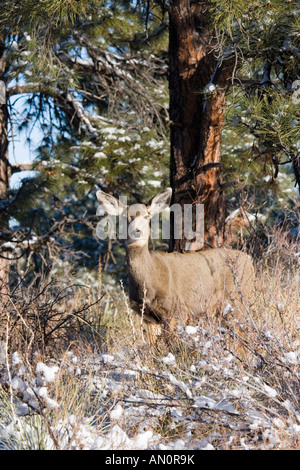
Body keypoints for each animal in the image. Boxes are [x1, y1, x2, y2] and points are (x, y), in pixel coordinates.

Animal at [96, 187, 255, 346]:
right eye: (124, 217)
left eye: (147, 216)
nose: (136, 231)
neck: (148, 282)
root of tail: (249, 260)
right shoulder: (147, 316)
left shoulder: (177, 309)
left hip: (238, 298)